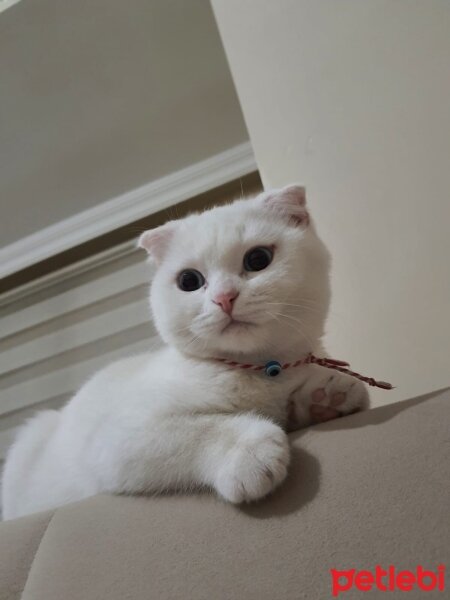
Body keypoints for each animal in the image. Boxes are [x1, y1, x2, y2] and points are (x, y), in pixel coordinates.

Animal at [2, 188, 370, 520]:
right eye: (189, 281)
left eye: (258, 260)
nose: (224, 297)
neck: (258, 372)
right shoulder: (121, 437)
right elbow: (201, 429)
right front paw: (249, 451)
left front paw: (326, 395)